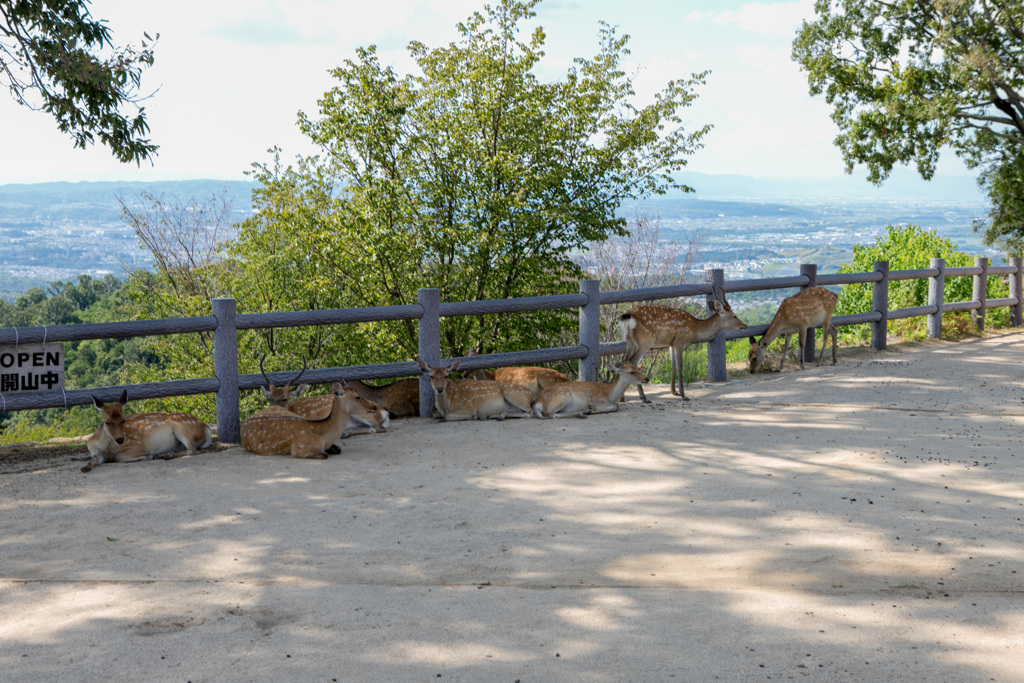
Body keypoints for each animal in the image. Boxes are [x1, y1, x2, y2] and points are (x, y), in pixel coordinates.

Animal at [83, 393, 211, 473]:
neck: (108, 447)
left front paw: (149, 456)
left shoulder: (137, 446)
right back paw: (166, 454)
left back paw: (163, 455)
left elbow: (118, 457)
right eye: (107, 422)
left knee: (193, 450)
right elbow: (94, 459)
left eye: (123, 420)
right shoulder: (95, 451)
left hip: (181, 428)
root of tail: (207, 429)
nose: (120, 439)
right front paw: (85, 467)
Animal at [618, 282, 749, 401]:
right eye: (734, 315)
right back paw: (644, 398)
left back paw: (622, 397)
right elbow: (680, 365)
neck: (694, 329)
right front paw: (683, 395)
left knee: (624, 361)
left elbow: (673, 365)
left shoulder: (671, 344)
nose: (745, 325)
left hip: (629, 341)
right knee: (632, 361)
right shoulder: (680, 341)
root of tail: (627, 317)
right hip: (645, 341)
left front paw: (673, 391)